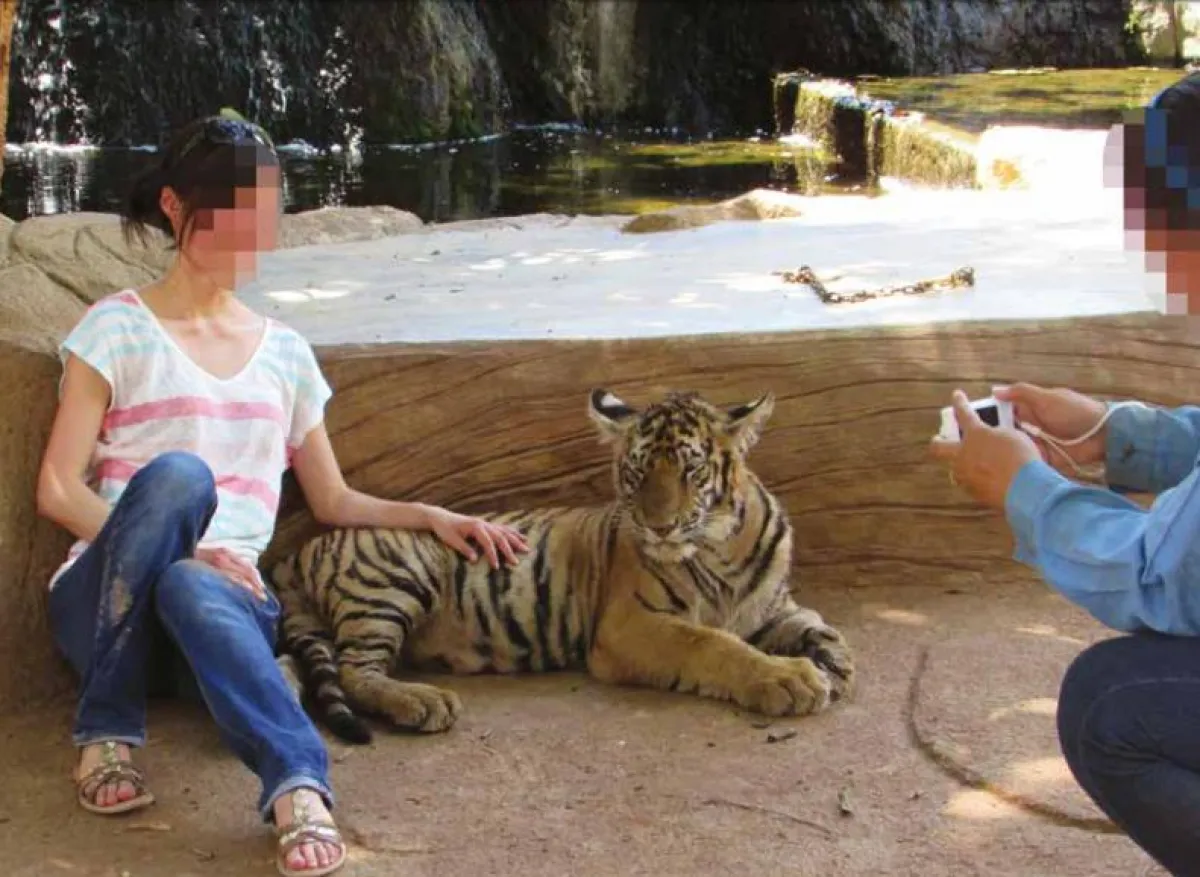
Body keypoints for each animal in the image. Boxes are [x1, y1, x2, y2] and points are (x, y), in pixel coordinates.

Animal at [269, 388, 856, 744]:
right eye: (637, 473)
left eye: (690, 471)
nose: (659, 527)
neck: (719, 551)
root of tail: (297, 553)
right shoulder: (628, 626)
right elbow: (712, 644)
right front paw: (789, 680)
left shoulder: (770, 606)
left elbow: (816, 625)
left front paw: (833, 661)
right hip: (394, 579)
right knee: (355, 671)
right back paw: (423, 701)